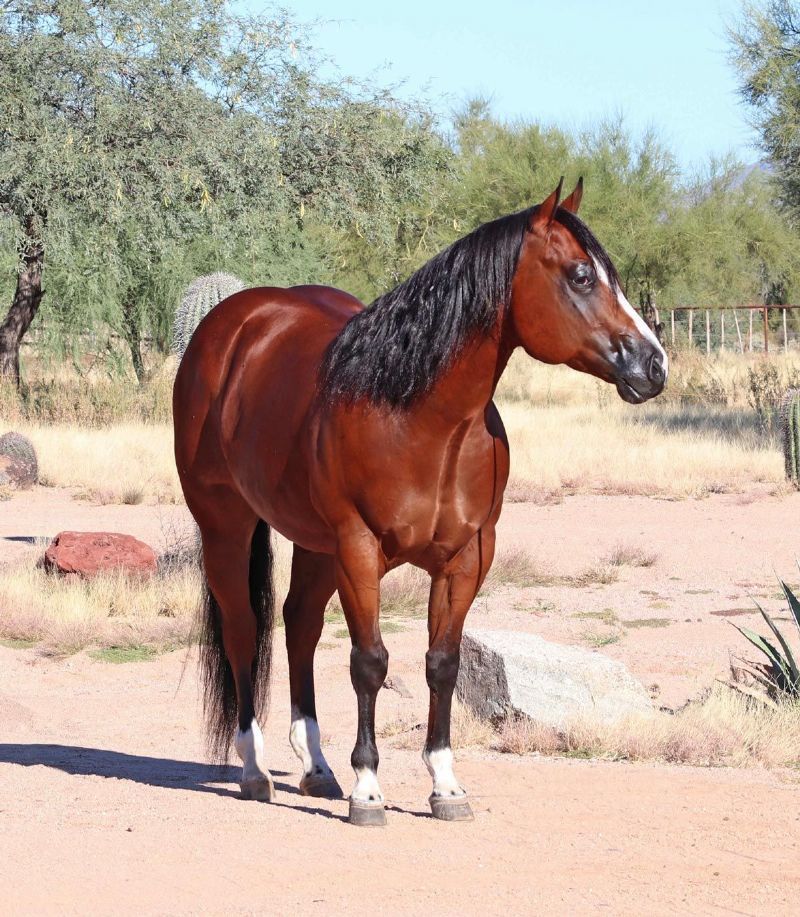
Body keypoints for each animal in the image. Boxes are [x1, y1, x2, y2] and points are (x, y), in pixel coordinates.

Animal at [173, 178, 668, 826]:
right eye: (581, 276)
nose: (654, 364)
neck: (421, 417)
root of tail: (229, 325)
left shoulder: (466, 557)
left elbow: (443, 663)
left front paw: (445, 785)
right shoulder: (359, 549)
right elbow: (369, 662)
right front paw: (368, 790)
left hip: (314, 544)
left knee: (299, 624)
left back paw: (317, 767)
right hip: (227, 525)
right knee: (243, 628)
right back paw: (256, 770)